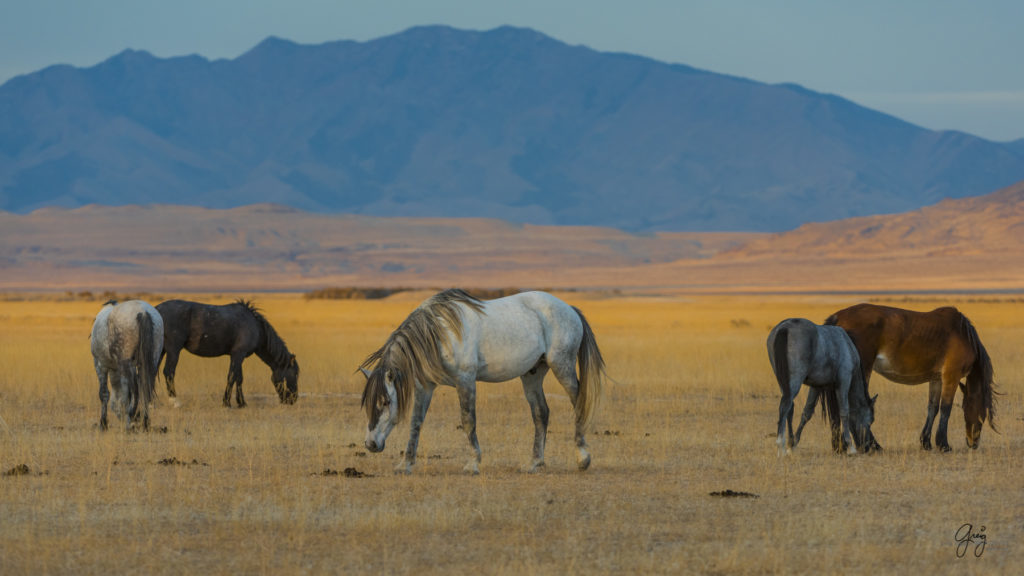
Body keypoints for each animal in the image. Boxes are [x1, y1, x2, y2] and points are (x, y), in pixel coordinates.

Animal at [90, 297, 163, 428]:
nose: (121, 418)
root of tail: (143, 312)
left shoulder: (100, 365)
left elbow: (104, 394)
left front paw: (103, 423)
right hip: (152, 361)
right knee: (145, 389)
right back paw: (145, 422)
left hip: (127, 364)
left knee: (135, 391)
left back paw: (131, 419)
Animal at [155, 297, 299, 405]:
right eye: (295, 374)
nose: (293, 399)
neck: (256, 327)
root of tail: (156, 310)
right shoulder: (238, 355)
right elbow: (231, 377)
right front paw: (227, 402)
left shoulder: (238, 356)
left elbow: (239, 378)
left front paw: (241, 402)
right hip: (173, 350)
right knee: (169, 372)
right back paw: (175, 401)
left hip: (160, 350)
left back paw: (153, 403)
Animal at [360, 289, 602, 473]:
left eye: (386, 402)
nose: (371, 444)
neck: (439, 334)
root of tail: (569, 308)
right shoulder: (425, 387)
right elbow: (415, 423)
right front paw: (406, 464)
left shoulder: (465, 380)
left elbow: (468, 420)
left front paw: (473, 463)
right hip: (532, 374)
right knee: (540, 413)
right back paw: (535, 463)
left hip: (562, 366)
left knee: (578, 403)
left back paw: (583, 459)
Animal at [765, 317, 876, 453]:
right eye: (870, 421)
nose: (866, 447)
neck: (848, 346)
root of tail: (784, 328)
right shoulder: (844, 381)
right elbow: (844, 411)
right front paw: (850, 447)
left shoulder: (816, 386)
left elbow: (807, 413)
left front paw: (794, 444)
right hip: (794, 382)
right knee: (785, 406)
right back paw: (781, 446)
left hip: (784, 383)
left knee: (789, 408)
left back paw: (788, 443)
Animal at [823, 303, 999, 450]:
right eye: (982, 415)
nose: (973, 443)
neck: (963, 335)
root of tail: (838, 317)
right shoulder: (951, 377)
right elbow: (945, 408)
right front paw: (943, 444)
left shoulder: (936, 379)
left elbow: (933, 408)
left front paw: (926, 442)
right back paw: (872, 445)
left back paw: (840, 446)